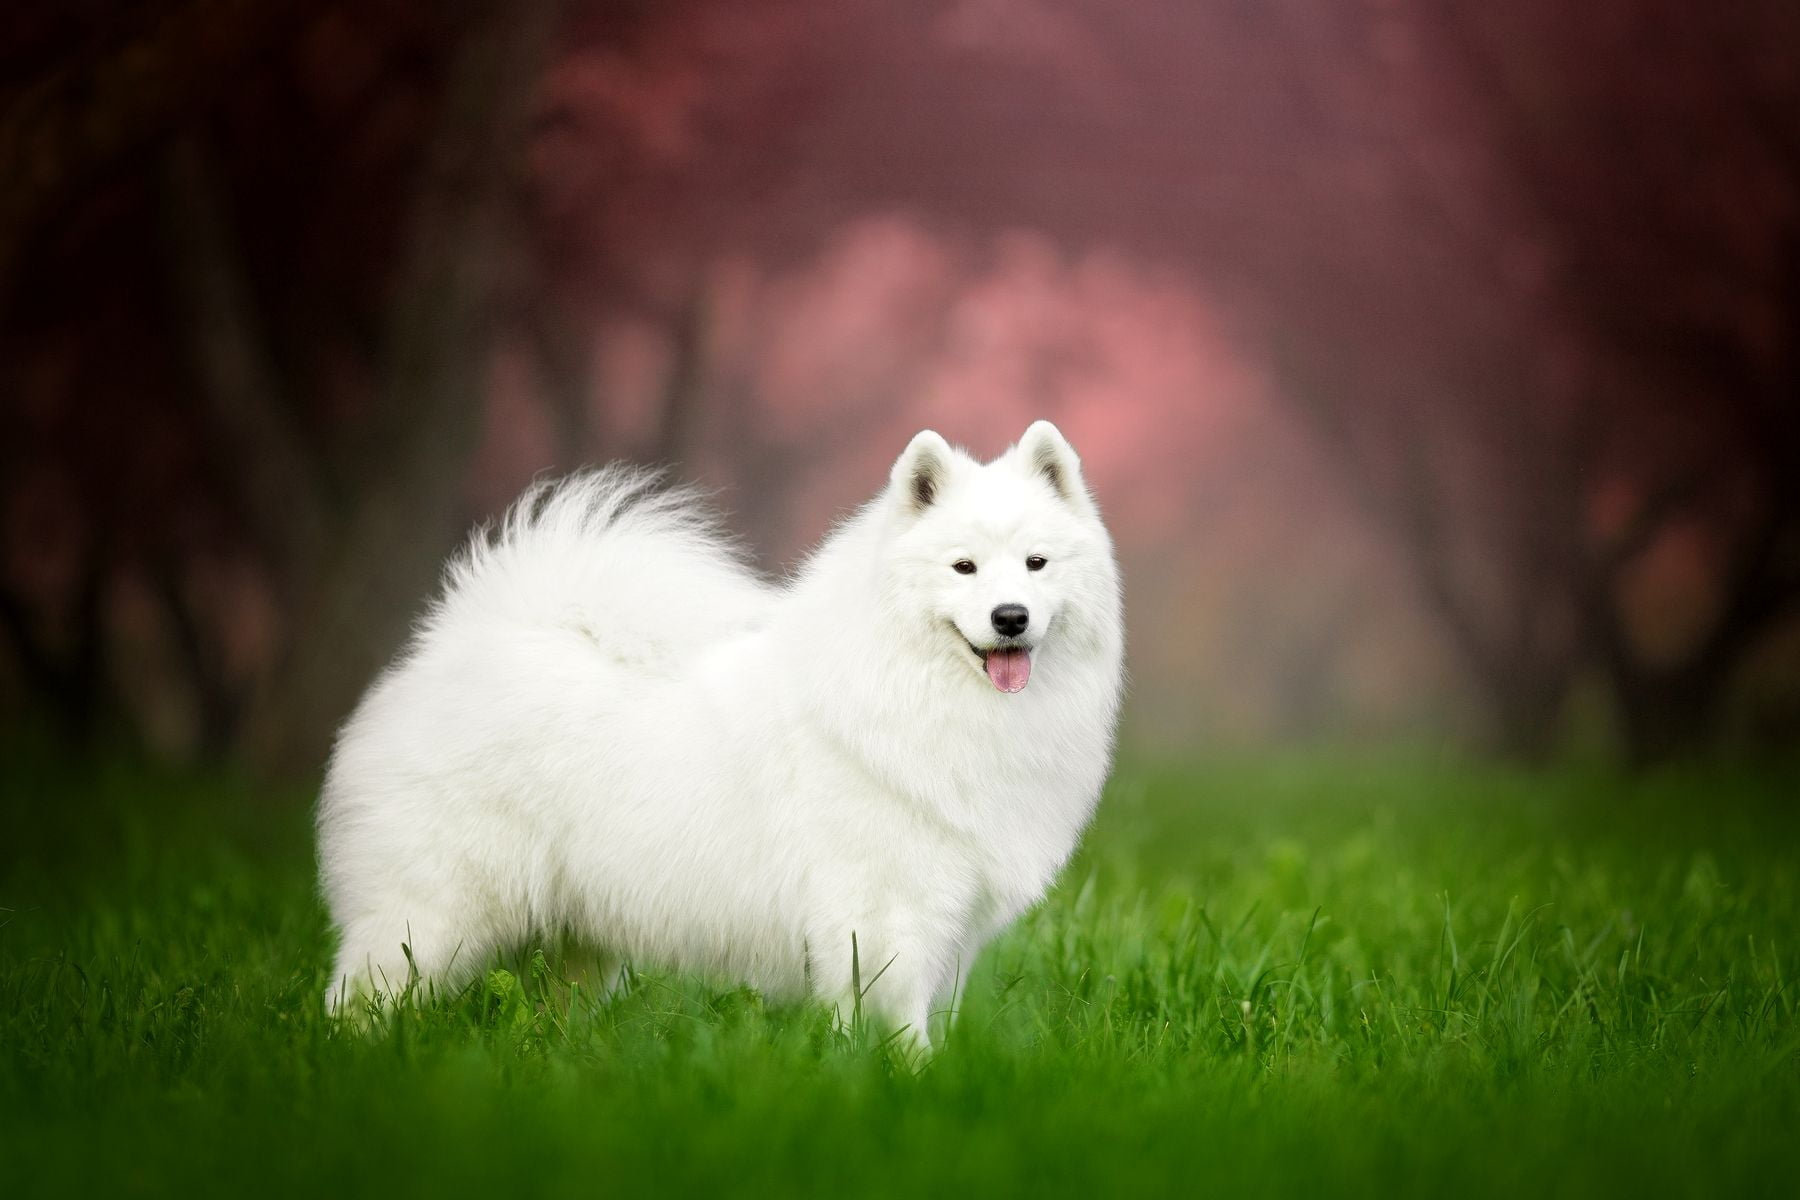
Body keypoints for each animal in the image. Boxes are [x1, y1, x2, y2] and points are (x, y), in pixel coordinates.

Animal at [316, 422, 1116, 1050]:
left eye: (1037, 563)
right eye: (964, 567)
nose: (1011, 616)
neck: (926, 695)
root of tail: (458, 645)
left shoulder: (950, 930)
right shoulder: (886, 918)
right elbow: (894, 1027)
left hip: (578, 943)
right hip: (431, 916)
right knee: (357, 995)